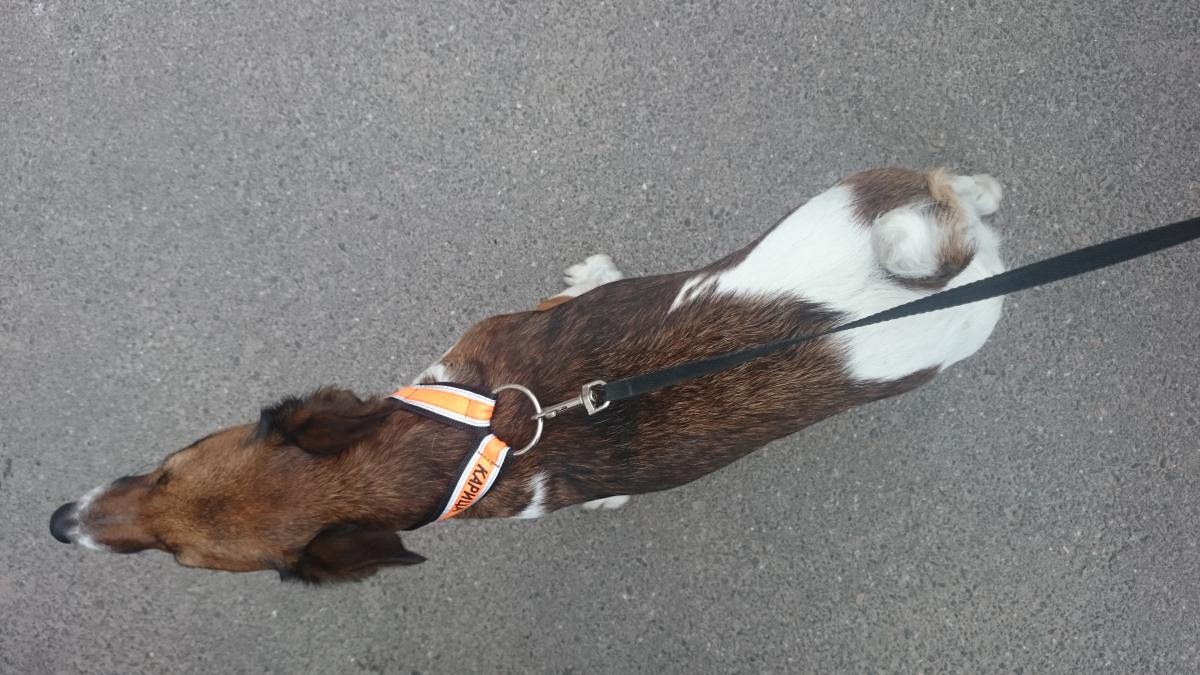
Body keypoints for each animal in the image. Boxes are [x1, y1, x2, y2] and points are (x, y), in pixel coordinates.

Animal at [49, 167, 1005, 583]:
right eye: (167, 465)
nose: (60, 523)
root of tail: (957, 270)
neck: (454, 442)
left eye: (183, 557)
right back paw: (985, 193)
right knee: (959, 188)